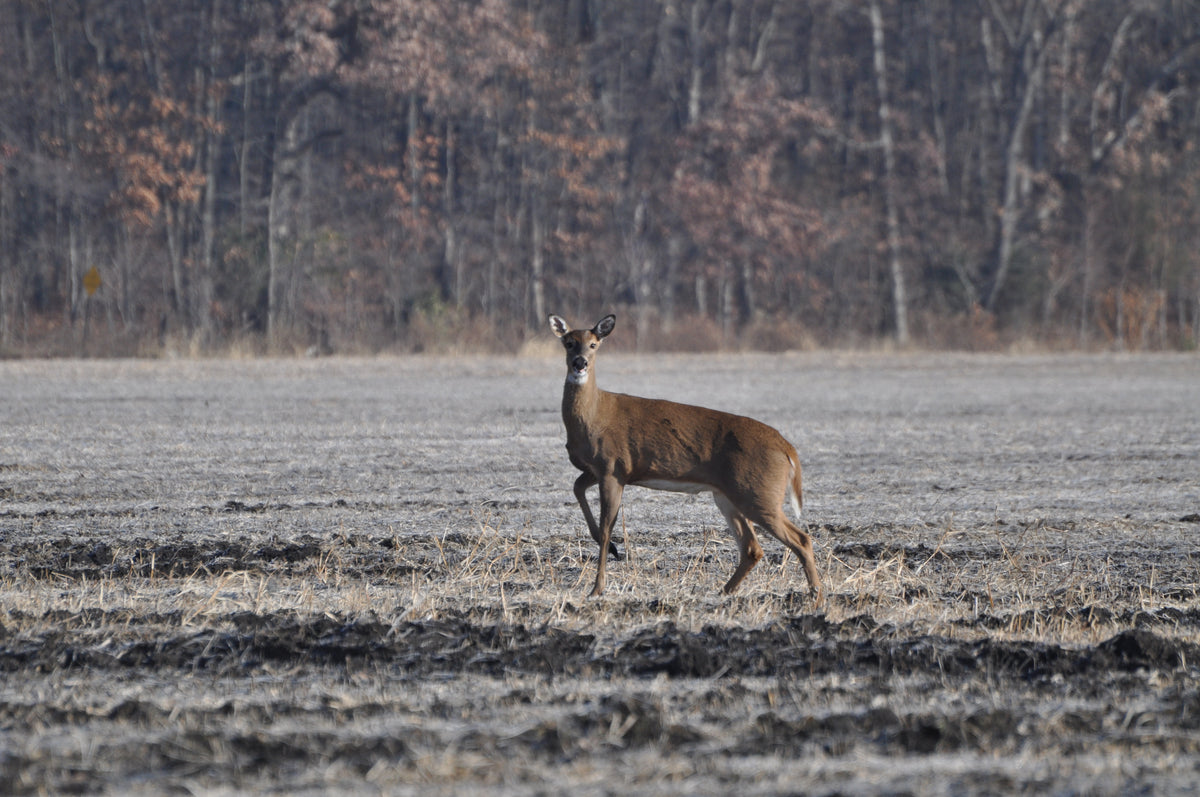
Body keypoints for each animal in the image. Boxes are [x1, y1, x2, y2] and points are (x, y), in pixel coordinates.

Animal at [549, 313, 824, 606]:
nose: (580, 363)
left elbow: (604, 529)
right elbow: (577, 488)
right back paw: (723, 591)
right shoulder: (599, 469)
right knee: (753, 548)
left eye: (594, 344)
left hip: (759, 492)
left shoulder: (612, 467)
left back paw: (816, 596)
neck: (594, 416)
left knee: (801, 539)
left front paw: (597, 588)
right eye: (568, 343)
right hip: (729, 495)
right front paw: (611, 553)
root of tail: (787, 448)